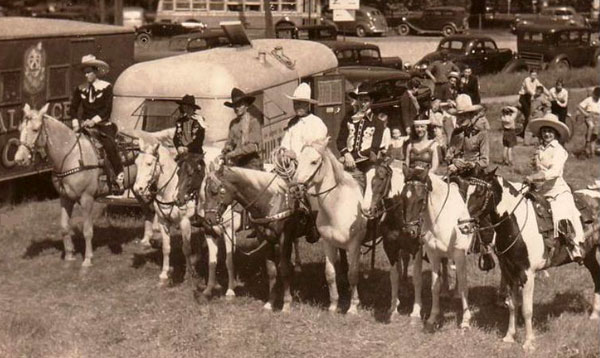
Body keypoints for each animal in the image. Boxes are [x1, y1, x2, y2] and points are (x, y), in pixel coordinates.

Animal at [134, 140, 220, 286]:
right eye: (136, 163)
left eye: (149, 163)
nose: (137, 189)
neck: (170, 190)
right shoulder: (163, 222)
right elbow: (166, 248)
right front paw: (164, 274)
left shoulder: (185, 222)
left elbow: (186, 248)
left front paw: (189, 274)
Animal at [203, 166, 304, 312]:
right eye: (204, 192)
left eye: (214, 192)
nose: (208, 220)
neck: (272, 203)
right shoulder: (266, 240)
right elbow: (272, 271)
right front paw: (270, 303)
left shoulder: (284, 238)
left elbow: (284, 269)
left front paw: (286, 304)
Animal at [294, 137, 368, 314]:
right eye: (298, 160)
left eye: (314, 162)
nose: (296, 188)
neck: (338, 205)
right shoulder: (328, 243)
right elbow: (329, 274)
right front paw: (333, 305)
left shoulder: (354, 245)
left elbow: (353, 274)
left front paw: (353, 307)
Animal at [400, 169, 472, 332]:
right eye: (403, 197)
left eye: (421, 199)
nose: (409, 232)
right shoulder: (433, 254)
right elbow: (435, 285)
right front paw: (433, 317)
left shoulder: (459, 254)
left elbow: (464, 285)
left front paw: (465, 321)